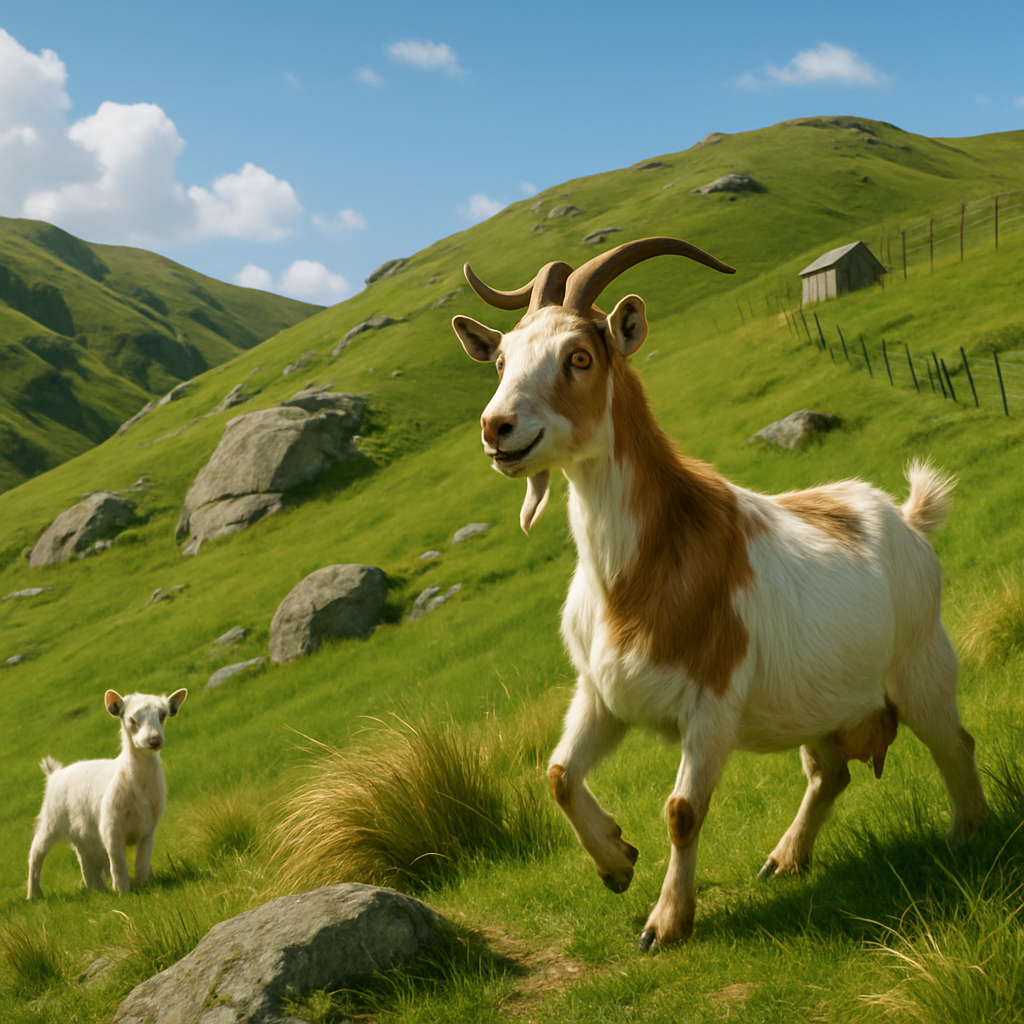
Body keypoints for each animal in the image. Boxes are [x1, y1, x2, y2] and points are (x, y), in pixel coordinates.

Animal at [27, 688, 187, 898]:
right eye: (131, 720)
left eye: (163, 715)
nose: (154, 740)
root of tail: (54, 773)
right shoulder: (110, 826)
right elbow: (117, 862)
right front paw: (122, 890)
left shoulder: (148, 829)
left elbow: (142, 863)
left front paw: (146, 886)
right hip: (50, 822)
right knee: (36, 854)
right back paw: (34, 895)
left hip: (84, 833)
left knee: (85, 858)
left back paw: (97, 889)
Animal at [452, 237, 987, 951]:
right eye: (502, 359)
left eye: (579, 357)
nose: (497, 428)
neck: (639, 573)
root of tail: (905, 516)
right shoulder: (601, 694)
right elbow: (559, 776)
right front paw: (616, 860)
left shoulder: (711, 707)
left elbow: (681, 811)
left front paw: (665, 923)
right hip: (818, 702)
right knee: (831, 772)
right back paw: (786, 858)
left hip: (921, 664)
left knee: (953, 742)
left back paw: (967, 832)